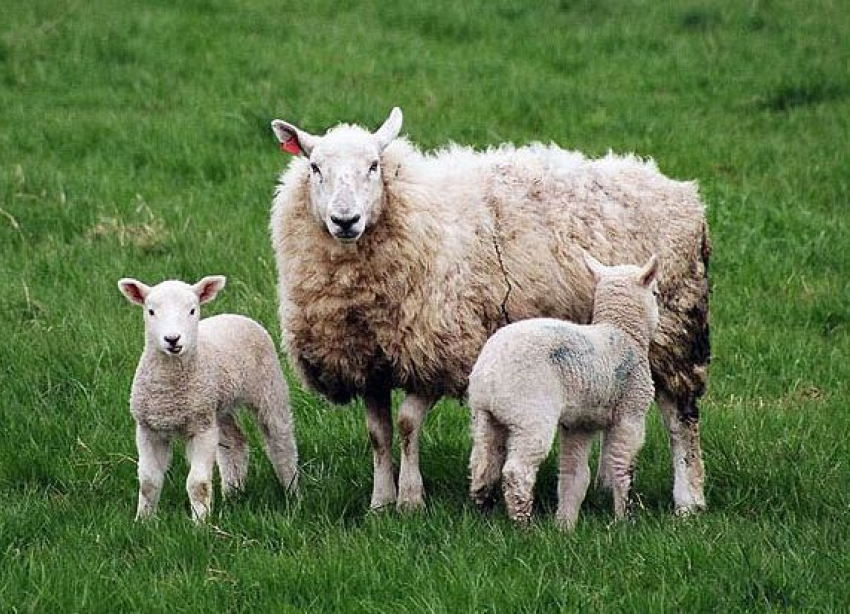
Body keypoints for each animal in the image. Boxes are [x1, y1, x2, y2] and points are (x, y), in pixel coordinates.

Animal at [117, 276, 298, 524]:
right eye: (151, 311)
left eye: (192, 310)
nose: (172, 339)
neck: (169, 388)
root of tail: (234, 315)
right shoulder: (148, 430)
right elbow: (148, 482)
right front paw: (144, 521)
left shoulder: (201, 430)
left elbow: (198, 484)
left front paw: (200, 523)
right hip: (215, 407)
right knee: (235, 442)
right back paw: (233, 494)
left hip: (269, 388)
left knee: (281, 442)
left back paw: (292, 492)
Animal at [468, 253, 660, 532]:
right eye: (656, 293)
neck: (622, 333)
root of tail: (489, 372)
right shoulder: (631, 412)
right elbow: (622, 467)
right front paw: (625, 519)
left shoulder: (579, 423)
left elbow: (575, 474)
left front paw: (565, 525)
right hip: (530, 413)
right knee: (517, 471)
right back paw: (523, 525)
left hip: (484, 415)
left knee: (483, 465)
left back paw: (482, 513)